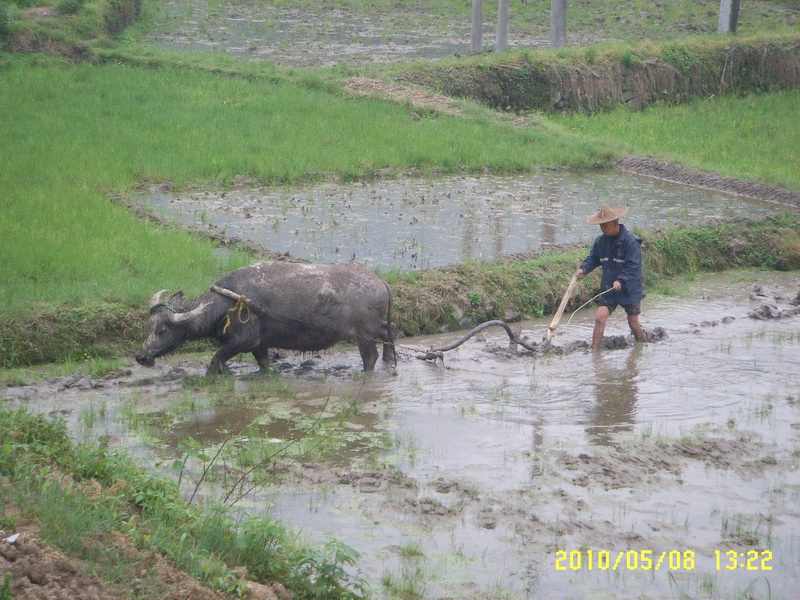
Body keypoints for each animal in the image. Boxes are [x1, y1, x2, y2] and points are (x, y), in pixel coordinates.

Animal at [138, 262, 400, 376]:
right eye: (149, 326)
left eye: (163, 330)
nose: (140, 357)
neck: (227, 304)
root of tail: (381, 282)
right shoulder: (259, 345)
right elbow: (264, 364)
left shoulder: (241, 342)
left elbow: (214, 362)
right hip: (373, 328)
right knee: (390, 329)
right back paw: (390, 360)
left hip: (364, 334)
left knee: (370, 356)